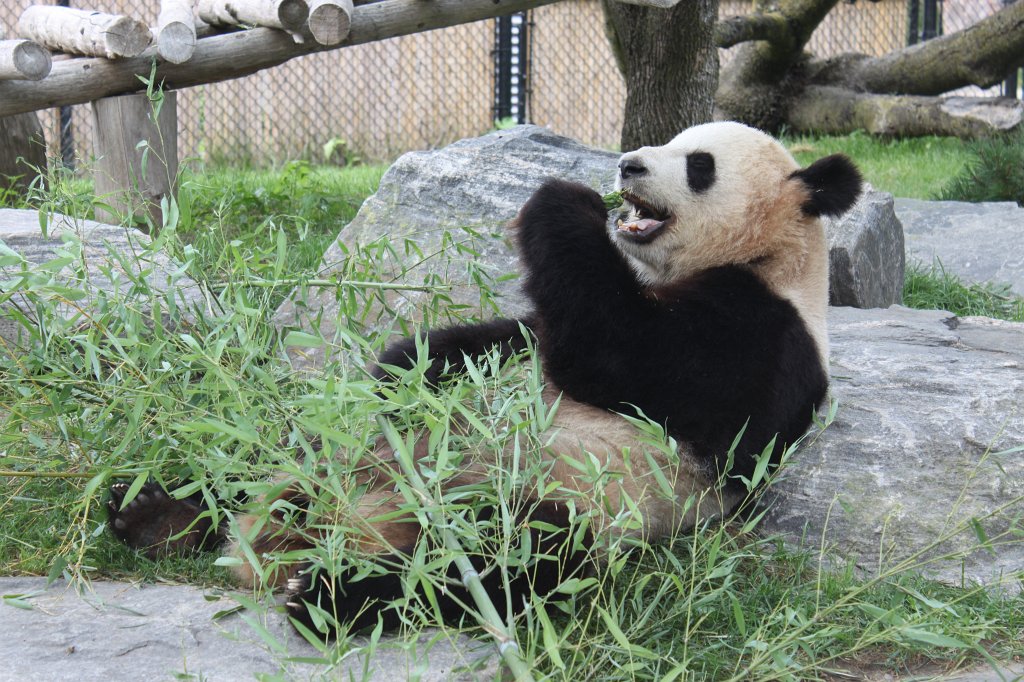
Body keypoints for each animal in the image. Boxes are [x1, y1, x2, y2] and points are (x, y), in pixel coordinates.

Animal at [107, 121, 862, 635]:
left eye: (698, 165)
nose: (627, 164)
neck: (770, 255)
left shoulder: (762, 336)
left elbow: (616, 354)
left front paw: (567, 198)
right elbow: (496, 343)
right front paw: (404, 369)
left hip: (554, 499)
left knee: (512, 559)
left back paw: (329, 596)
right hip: (327, 455)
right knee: (264, 455)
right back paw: (153, 510)